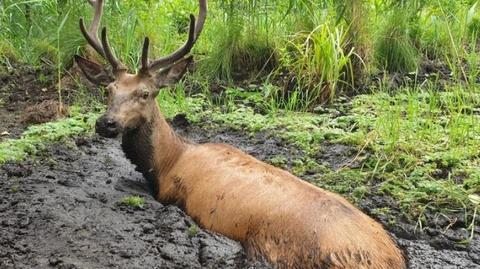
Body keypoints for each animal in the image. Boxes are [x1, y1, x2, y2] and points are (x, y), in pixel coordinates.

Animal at [74, 1, 404, 266]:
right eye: (109, 89)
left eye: (145, 93)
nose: (106, 123)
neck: (168, 161)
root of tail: (389, 259)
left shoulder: (172, 195)